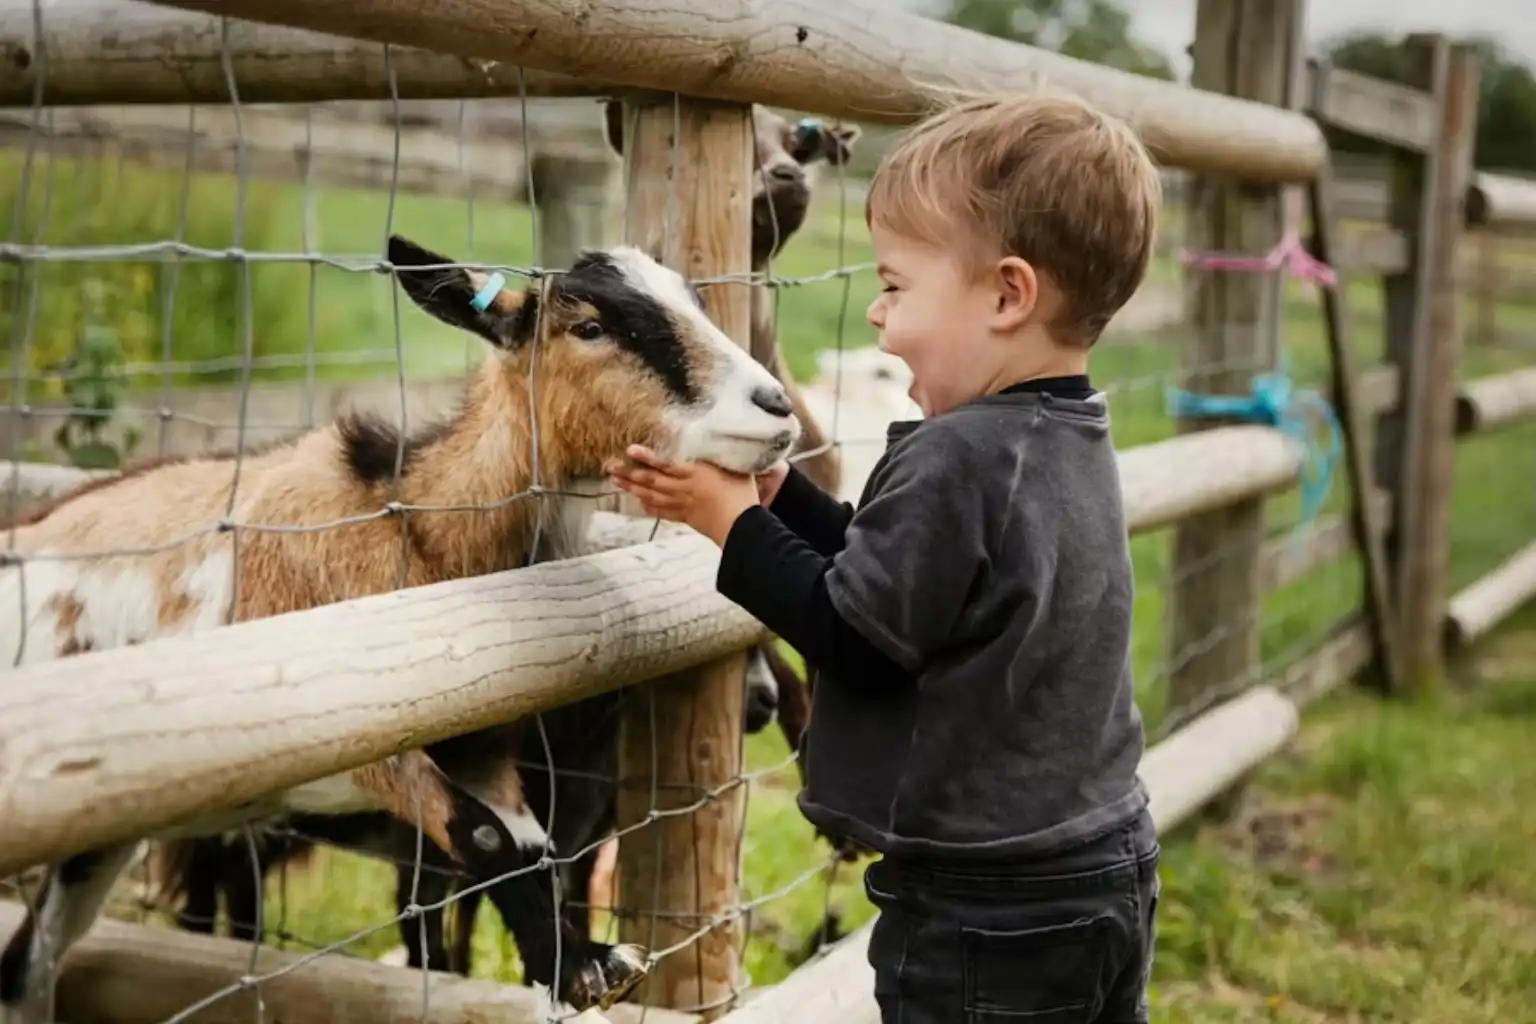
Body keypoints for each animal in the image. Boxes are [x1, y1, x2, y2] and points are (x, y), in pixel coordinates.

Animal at [0, 233, 801, 1023]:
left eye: (693, 300)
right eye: (590, 327)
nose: (776, 410)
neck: (416, 532)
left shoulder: (484, 751)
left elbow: (525, 846)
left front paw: (581, 962)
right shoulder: (345, 740)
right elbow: (480, 837)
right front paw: (581, 968)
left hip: (101, 836)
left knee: (27, 970)